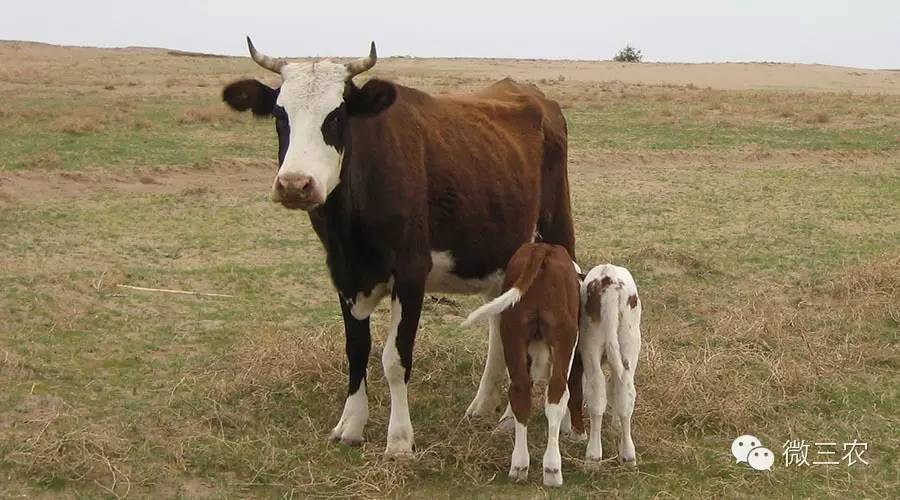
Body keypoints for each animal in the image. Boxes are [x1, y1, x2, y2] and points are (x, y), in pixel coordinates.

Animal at [221, 39, 580, 458]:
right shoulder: (344, 274)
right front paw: (351, 424)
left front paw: (399, 438)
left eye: (337, 116)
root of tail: (535, 97)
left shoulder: (411, 272)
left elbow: (395, 357)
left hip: (557, 232)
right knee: (501, 323)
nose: (295, 184)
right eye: (281, 115)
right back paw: (487, 407)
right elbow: (357, 349)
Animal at [460, 244, 580, 486]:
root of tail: (543, 250)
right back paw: (552, 470)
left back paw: (519, 466)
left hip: (512, 333)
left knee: (519, 392)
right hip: (564, 336)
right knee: (556, 393)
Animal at [576, 266, 640, 468]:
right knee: (625, 391)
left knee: (597, 391)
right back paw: (628, 455)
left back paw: (593, 457)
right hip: (629, 344)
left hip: (591, 346)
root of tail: (610, 279)